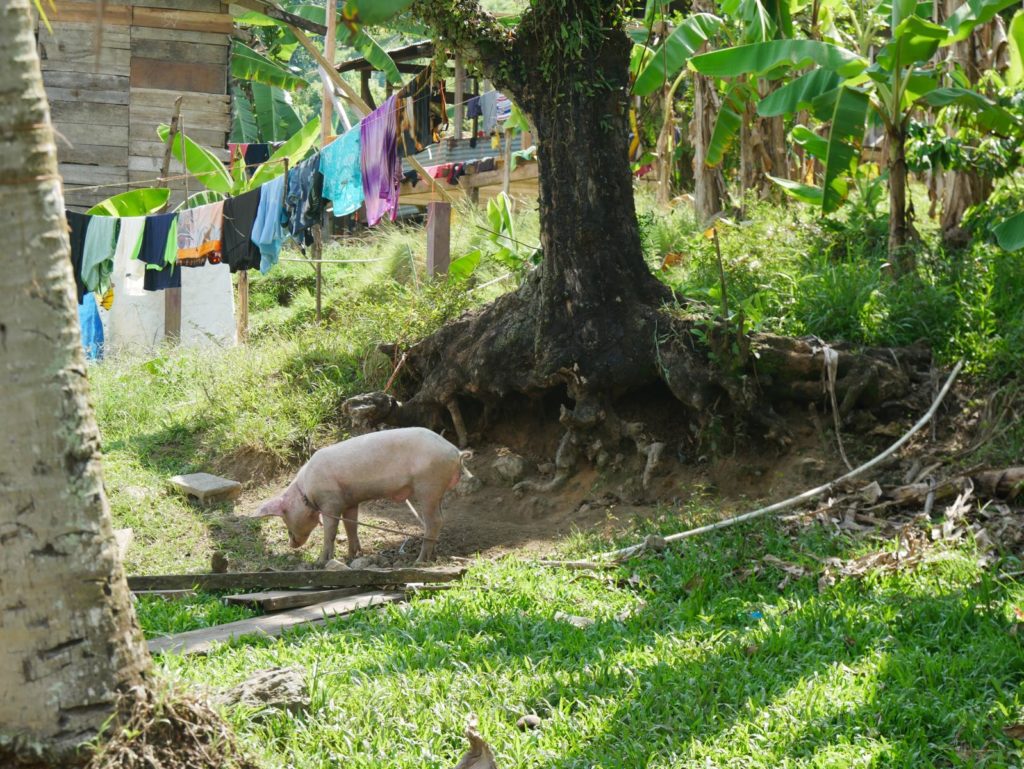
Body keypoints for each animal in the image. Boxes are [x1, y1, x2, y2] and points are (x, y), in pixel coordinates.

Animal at [253, 428, 468, 565]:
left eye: (285, 518)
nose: (291, 544)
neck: (306, 492)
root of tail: (455, 451)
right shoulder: (350, 502)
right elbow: (351, 526)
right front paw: (352, 556)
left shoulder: (330, 502)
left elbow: (330, 531)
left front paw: (321, 562)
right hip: (435, 489)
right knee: (440, 519)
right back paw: (430, 556)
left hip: (428, 484)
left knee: (434, 521)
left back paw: (419, 561)